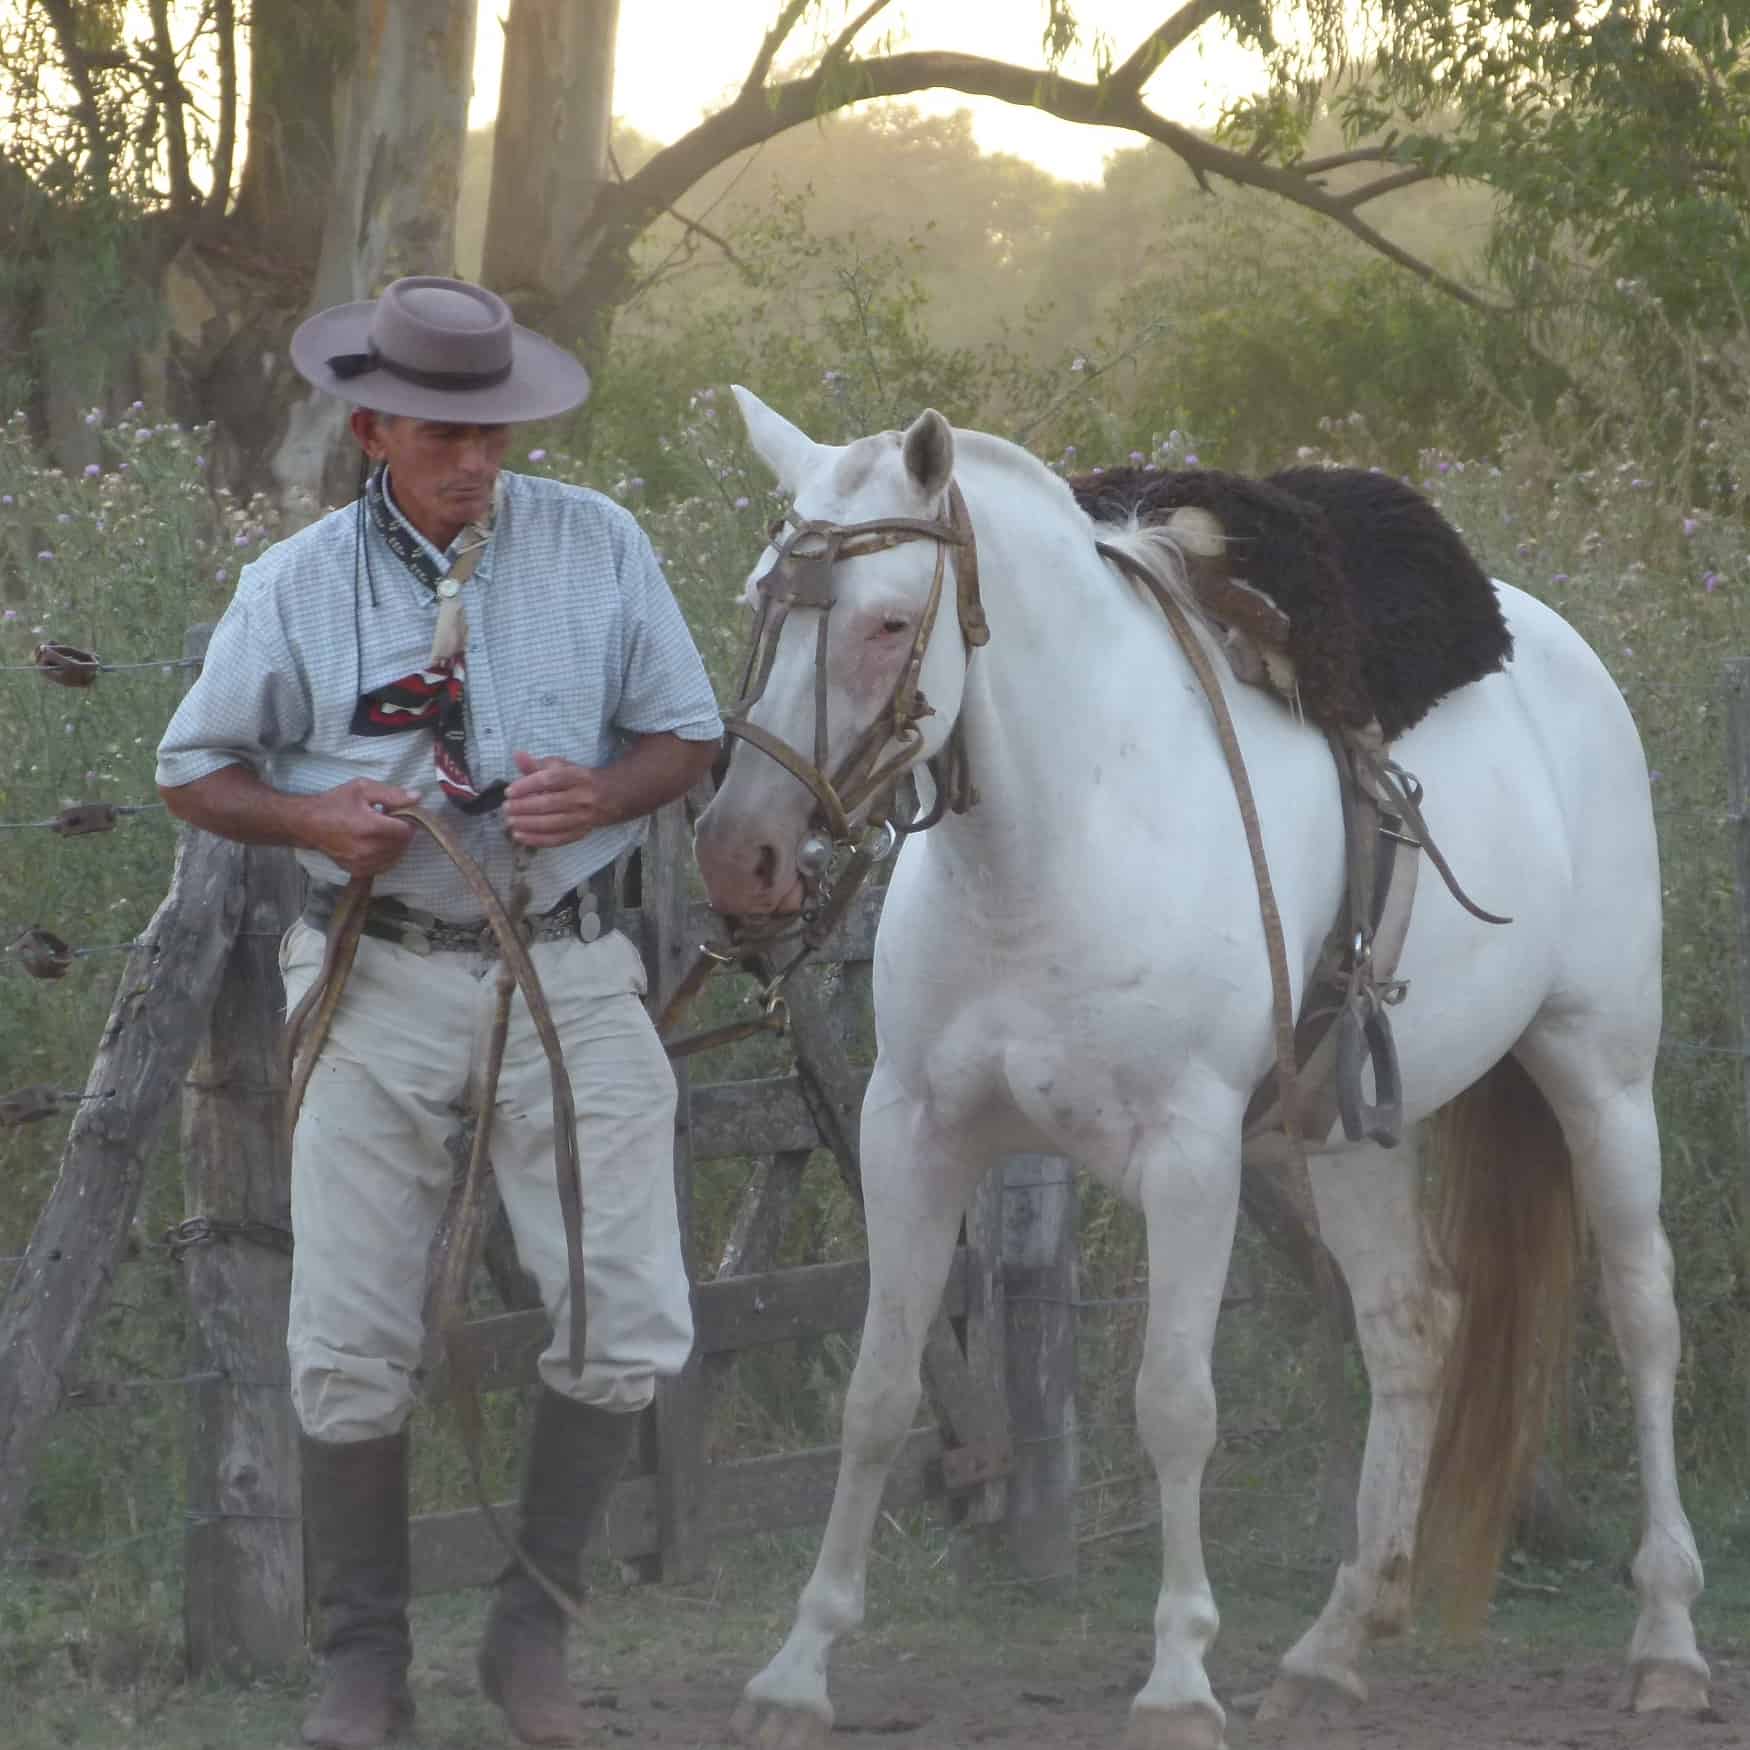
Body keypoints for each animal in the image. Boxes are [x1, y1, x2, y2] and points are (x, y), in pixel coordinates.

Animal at [689, 393, 1701, 1750]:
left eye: (889, 623)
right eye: (764, 600)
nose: (738, 854)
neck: (1060, 835)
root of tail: (1560, 653)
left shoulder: (1188, 1157)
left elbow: (1174, 1404)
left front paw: (1176, 1680)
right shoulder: (913, 1131)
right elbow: (876, 1396)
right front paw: (796, 1672)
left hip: (1599, 1069)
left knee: (1644, 1312)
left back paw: (1667, 1641)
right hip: (1345, 1132)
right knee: (1410, 1327)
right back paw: (1332, 1648)